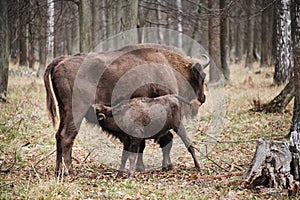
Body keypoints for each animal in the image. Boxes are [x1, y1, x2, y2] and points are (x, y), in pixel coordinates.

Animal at [44, 43, 209, 176]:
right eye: (202, 76)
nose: (203, 97)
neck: (169, 66)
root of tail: (61, 61)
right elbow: (157, 141)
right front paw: (144, 168)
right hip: (76, 110)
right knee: (67, 136)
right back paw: (71, 172)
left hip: (63, 110)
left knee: (58, 135)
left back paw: (58, 171)